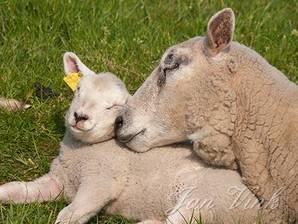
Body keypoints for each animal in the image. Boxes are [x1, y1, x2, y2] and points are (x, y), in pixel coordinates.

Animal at [0, 51, 258, 223]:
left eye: (112, 107)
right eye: (78, 90)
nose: (80, 116)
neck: (83, 154)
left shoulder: (101, 180)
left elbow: (69, 214)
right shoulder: (57, 180)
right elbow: (18, 189)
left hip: (207, 200)